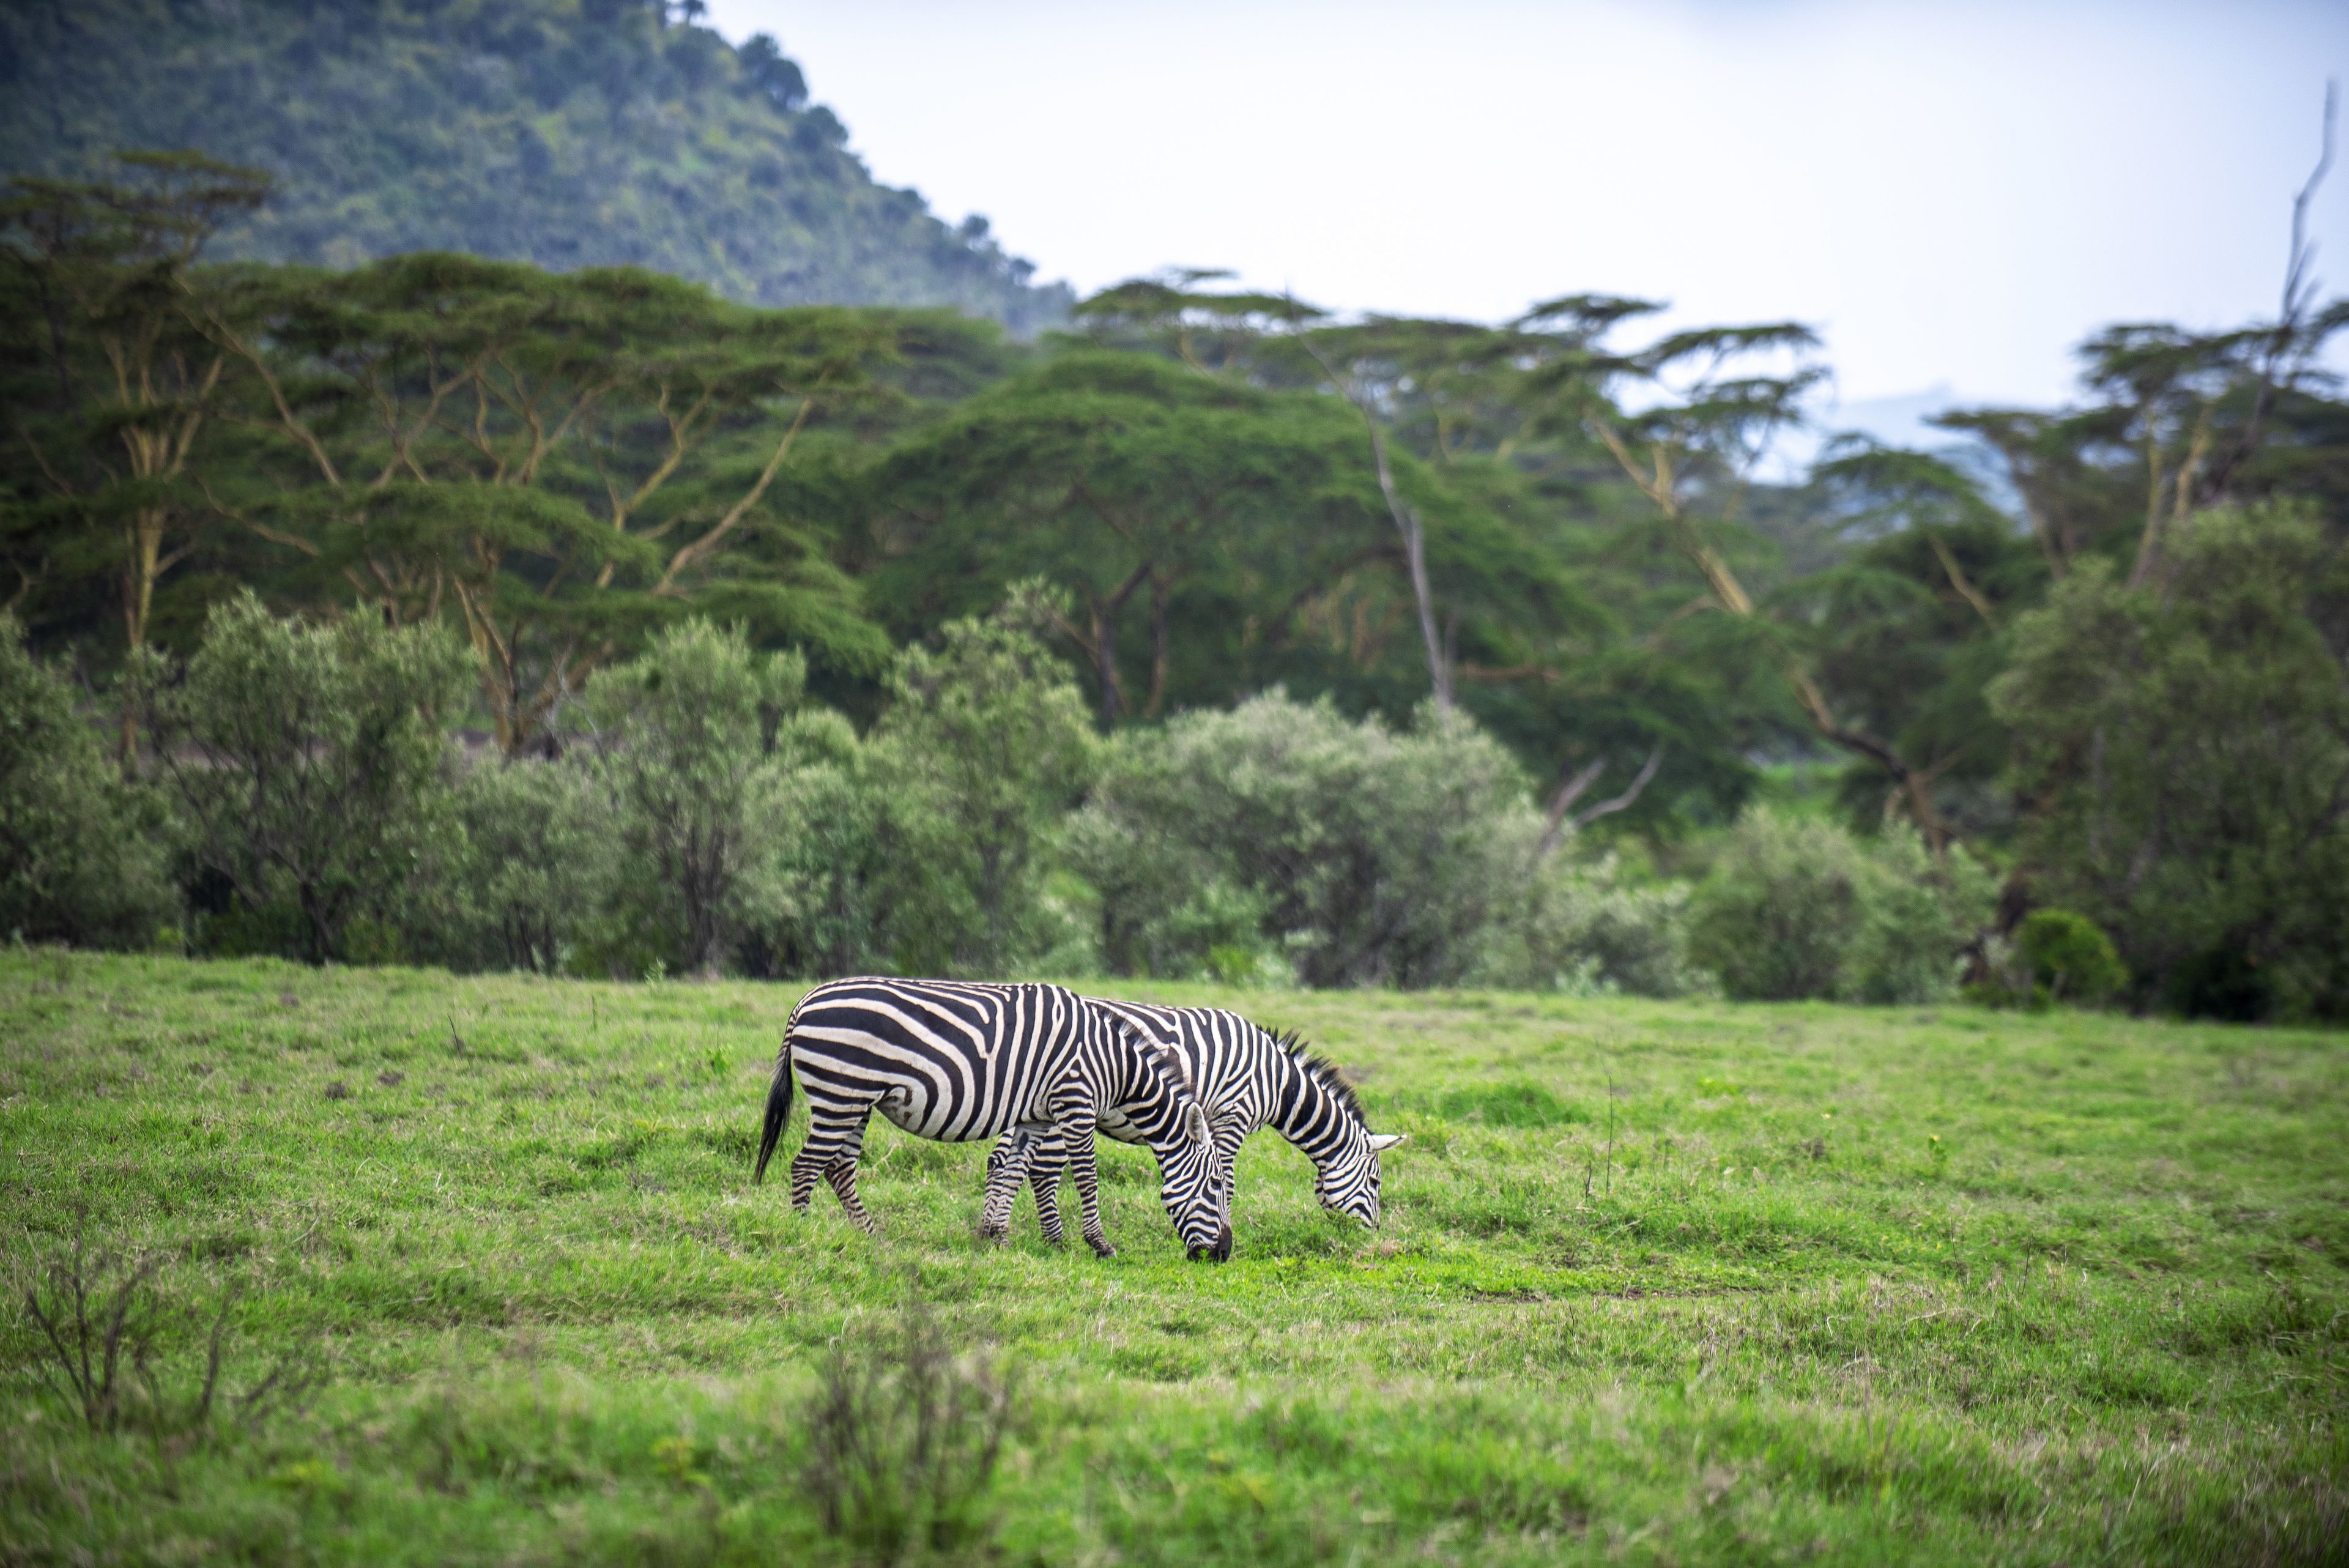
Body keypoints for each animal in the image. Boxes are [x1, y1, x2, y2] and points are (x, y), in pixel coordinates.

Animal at [754, 978, 1231, 1259]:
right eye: (1214, 1185)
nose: (1224, 1252)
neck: (1114, 1063)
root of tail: (805, 1001)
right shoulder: (1076, 1103)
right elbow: (1087, 1176)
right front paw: (1100, 1244)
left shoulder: (1035, 1117)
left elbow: (1015, 1170)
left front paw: (996, 1236)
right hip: (841, 1094)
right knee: (806, 1166)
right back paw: (802, 1235)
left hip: (856, 1101)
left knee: (838, 1168)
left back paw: (872, 1238)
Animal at [979, 1001, 1403, 1248]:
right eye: (1376, 1183)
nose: (1372, 1237)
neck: (1278, 1083)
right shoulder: (1231, 1117)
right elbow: (1226, 1182)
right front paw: (1224, 1233)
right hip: (1064, 1104)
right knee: (1042, 1170)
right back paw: (1054, 1241)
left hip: (1029, 1104)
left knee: (1002, 1160)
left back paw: (990, 1231)